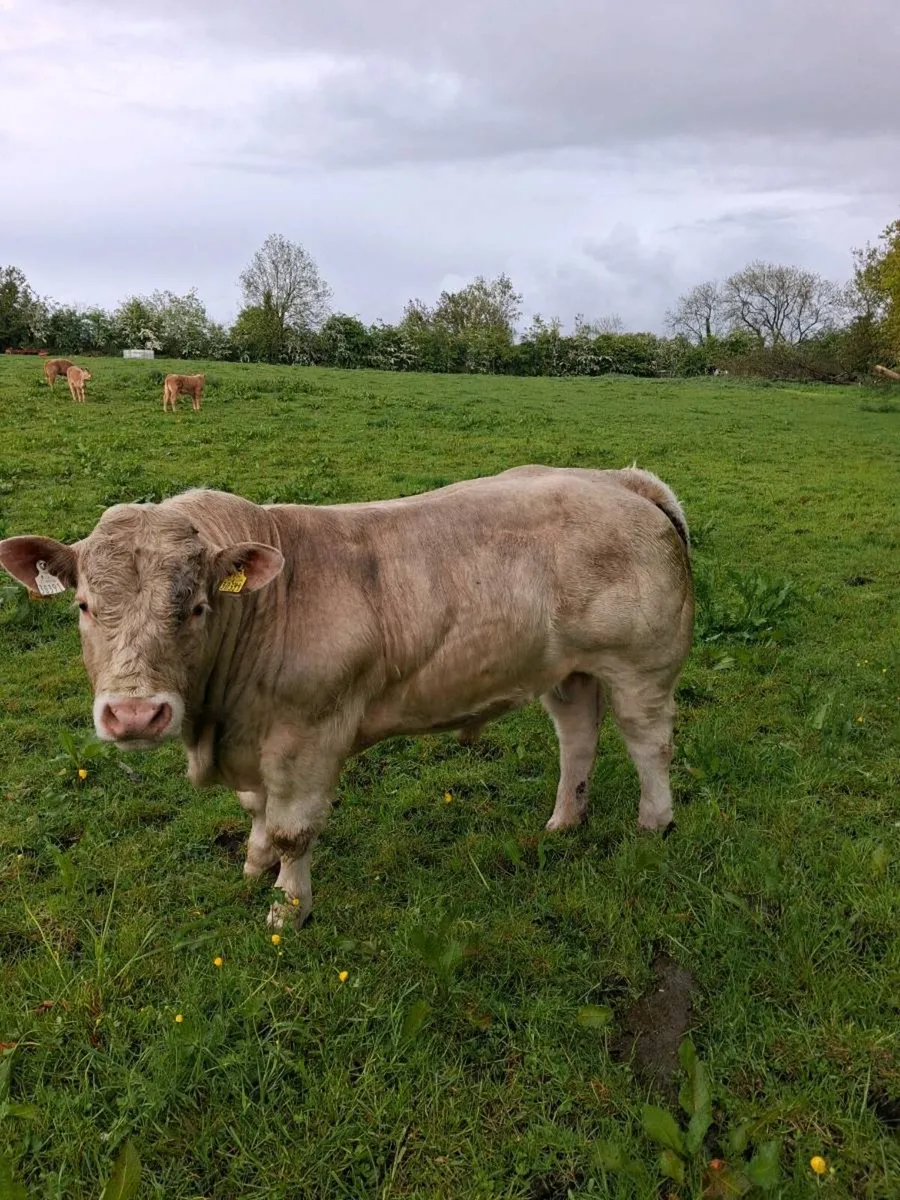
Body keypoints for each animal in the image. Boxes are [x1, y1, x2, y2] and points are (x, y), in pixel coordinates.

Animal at [0, 465, 693, 929]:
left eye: (196, 607)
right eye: (84, 607)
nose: (135, 714)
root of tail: (618, 479)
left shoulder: (307, 736)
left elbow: (292, 830)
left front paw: (289, 908)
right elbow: (258, 811)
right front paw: (254, 865)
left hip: (642, 665)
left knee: (649, 743)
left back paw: (654, 824)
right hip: (566, 668)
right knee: (578, 736)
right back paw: (563, 822)